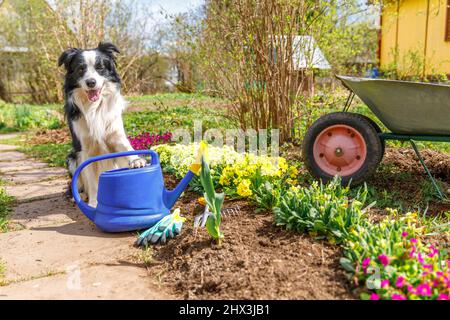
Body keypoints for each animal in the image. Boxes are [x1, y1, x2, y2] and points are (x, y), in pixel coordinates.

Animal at [58, 42, 146, 206]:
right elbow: (92, 181)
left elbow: (126, 147)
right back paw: (79, 196)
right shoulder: (84, 149)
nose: (91, 82)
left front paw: (136, 160)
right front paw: (93, 203)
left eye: (100, 67)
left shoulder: (115, 134)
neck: (94, 106)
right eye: (81, 69)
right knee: (77, 185)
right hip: (71, 158)